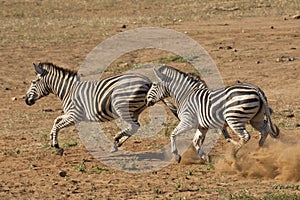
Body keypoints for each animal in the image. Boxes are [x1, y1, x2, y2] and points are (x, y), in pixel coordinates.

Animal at [25, 62, 178, 155]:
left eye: (33, 82)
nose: (26, 100)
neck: (69, 90)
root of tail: (148, 81)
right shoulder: (70, 114)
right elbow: (56, 121)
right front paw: (52, 141)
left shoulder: (75, 116)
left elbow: (58, 125)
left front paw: (57, 146)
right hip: (135, 110)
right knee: (134, 127)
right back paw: (117, 143)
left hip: (121, 106)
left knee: (134, 126)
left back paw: (116, 140)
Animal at [146, 65, 280, 162]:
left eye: (154, 85)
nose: (146, 100)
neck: (185, 95)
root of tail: (255, 88)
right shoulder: (202, 125)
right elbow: (196, 141)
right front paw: (204, 157)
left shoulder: (188, 121)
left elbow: (173, 134)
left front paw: (177, 156)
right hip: (255, 119)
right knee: (264, 130)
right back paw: (258, 151)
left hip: (234, 118)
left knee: (246, 136)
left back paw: (233, 154)